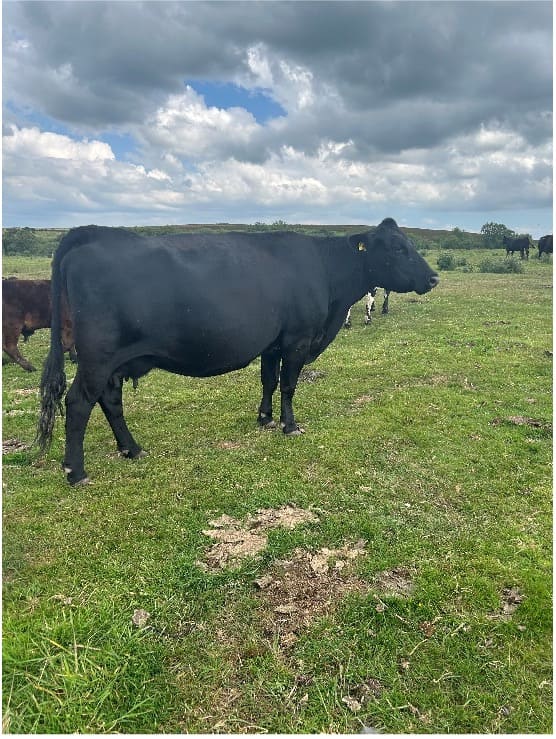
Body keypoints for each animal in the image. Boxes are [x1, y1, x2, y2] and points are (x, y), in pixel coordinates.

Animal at [37, 218, 439, 485]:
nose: (434, 277)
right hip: (97, 358)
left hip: (115, 363)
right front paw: (290, 425)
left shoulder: (273, 343)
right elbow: (289, 385)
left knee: (110, 400)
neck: (325, 273)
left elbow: (269, 381)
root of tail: (94, 233)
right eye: (398, 248)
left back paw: (131, 449)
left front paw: (265, 418)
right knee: (79, 402)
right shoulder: (297, 339)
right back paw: (76, 471)